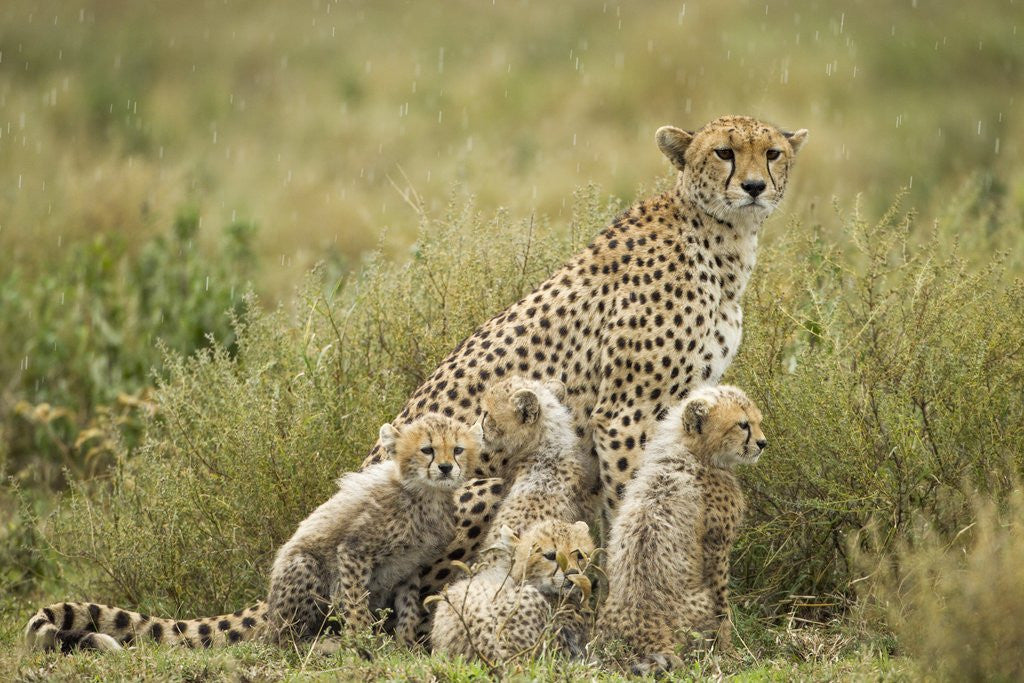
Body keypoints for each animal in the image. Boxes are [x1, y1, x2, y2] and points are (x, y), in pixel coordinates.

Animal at [24, 413, 487, 652]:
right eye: (427, 449)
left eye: (457, 449)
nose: (447, 467)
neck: (425, 496)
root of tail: (269, 607)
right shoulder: (353, 551)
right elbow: (354, 602)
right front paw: (365, 644)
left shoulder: (409, 569)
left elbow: (408, 608)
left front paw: (406, 647)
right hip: (303, 568)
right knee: (284, 638)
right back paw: (315, 644)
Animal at [365, 115, 806, 599]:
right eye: (724, 152)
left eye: (772, 153)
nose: (754, 186)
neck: (719, 240)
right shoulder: (626, 414)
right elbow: (629, 497)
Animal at [597, 384, 765, 675]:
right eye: (743, 425)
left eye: (758, 421)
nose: (763, 443)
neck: (692, 453)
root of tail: (647, 628)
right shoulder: (717, 547)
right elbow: (723, 605)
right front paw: (728, 650)